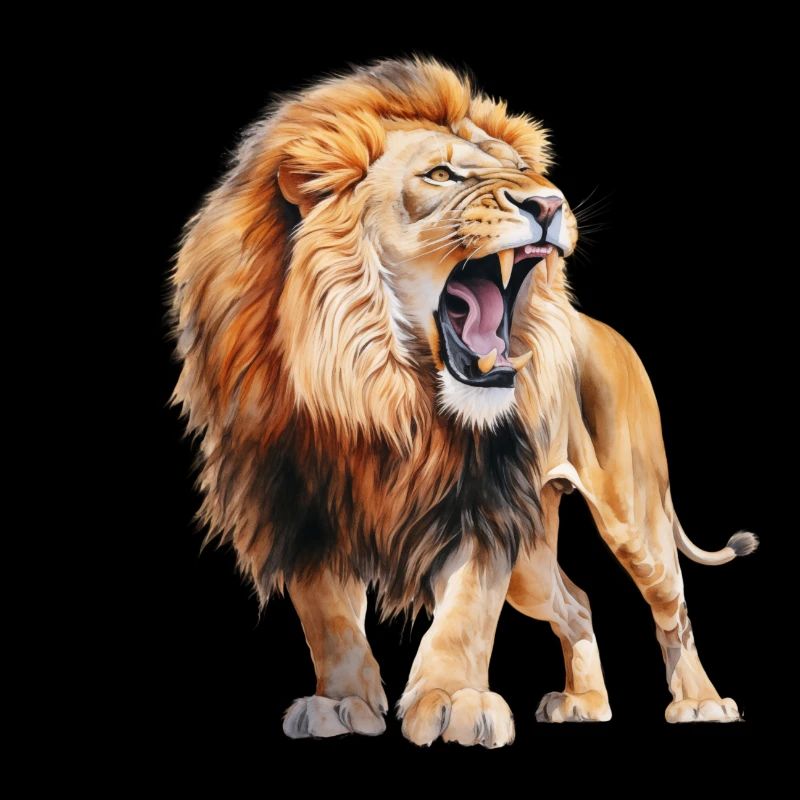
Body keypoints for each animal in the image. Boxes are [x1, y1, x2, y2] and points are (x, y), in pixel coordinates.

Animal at [171, 58, 757, 747]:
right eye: (440, 175)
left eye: (525, 170)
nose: (549, 202)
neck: (384, 398)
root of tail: (605, 329)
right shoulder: (297, 506)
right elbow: (328, 620)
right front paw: (342, 703)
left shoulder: (487, 501)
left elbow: (467, 610)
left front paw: (454, 700)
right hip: (535, 559)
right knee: (576, 602)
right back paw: (585, 702)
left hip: (631, 515)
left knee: (673, 602)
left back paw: (701, 702)